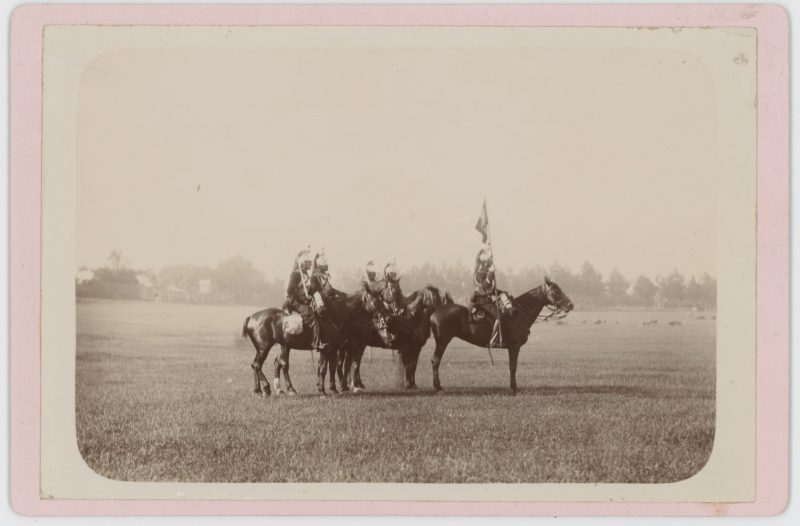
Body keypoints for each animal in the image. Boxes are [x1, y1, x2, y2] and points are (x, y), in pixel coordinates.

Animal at [428, 278, 572, 394]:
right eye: (555, 291)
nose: (570, 305)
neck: (519, 314)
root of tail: (436, 309)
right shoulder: (514, 347)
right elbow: (513, 367)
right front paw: (514, 388)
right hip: (442, 341)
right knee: (435, 361)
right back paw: (438, 386)